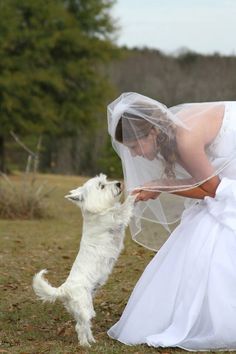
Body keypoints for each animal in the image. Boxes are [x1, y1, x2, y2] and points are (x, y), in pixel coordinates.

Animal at [32, 174, 135, 346]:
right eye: (101, 185)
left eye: (105, 180)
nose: (119, 183)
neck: (97, 211)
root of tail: (64, 290)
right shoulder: (116, 219)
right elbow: (125, 208)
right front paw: (134, 194)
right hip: (84, 307)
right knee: (80, 327)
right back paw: (86, 344)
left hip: (82, 309)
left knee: (84, 325)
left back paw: (92, 340)